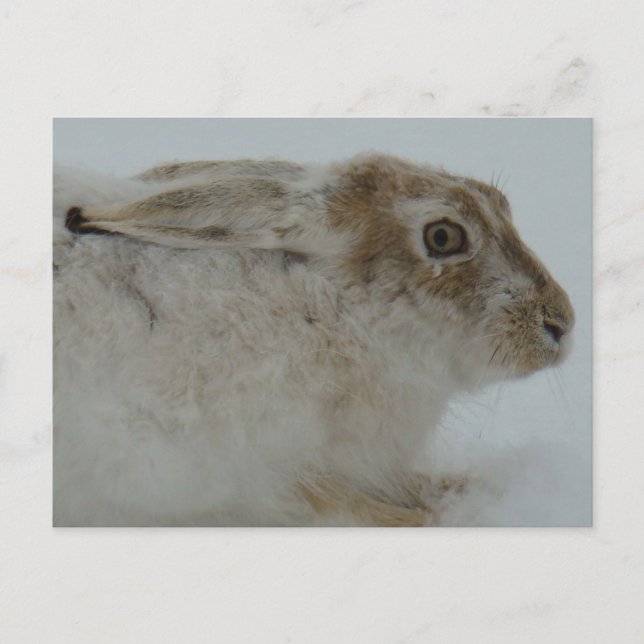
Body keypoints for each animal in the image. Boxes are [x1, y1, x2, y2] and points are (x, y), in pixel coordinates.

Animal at [53, 153, 574, 526]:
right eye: (443, 237)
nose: (561, 324)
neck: (337, 311)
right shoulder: (220, 470)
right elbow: (345, 505)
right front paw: (438, 516)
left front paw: (470, 490)